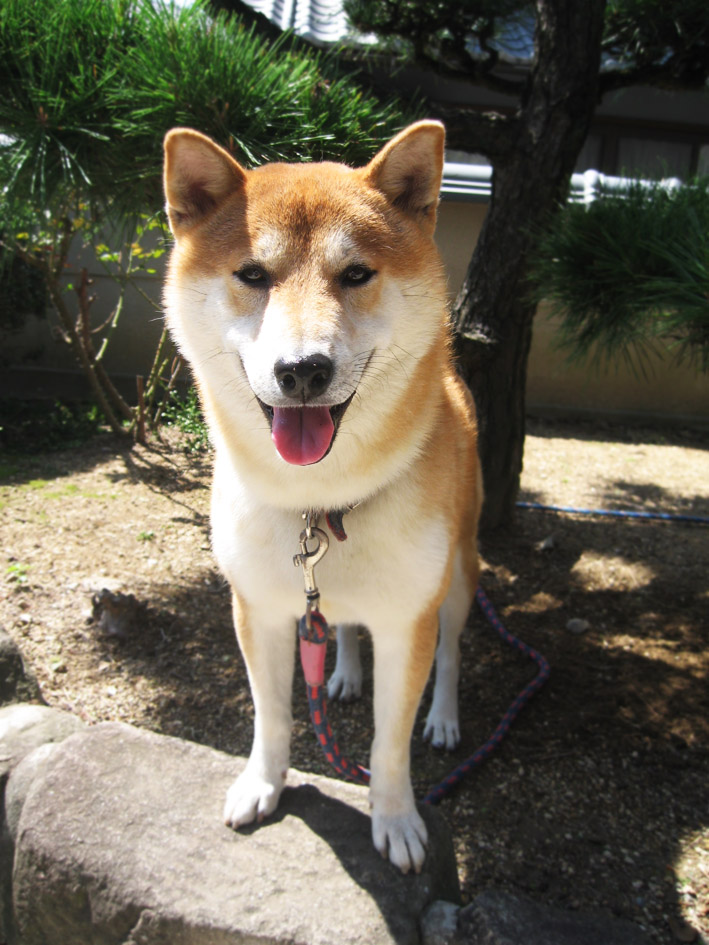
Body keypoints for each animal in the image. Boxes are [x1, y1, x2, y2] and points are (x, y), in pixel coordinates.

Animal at [162, 121, 482, 874]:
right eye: (253, 274)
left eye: (356, 273)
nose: (302, 370)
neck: (320, 505)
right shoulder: (259, 608)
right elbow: (273, 713)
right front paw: (262, 784)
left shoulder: (407, 621)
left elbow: (389, 745)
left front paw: (396, 820)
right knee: (337, 624)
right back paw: (341, 673)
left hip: (458, 574)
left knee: (453, 651)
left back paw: (444, 717)